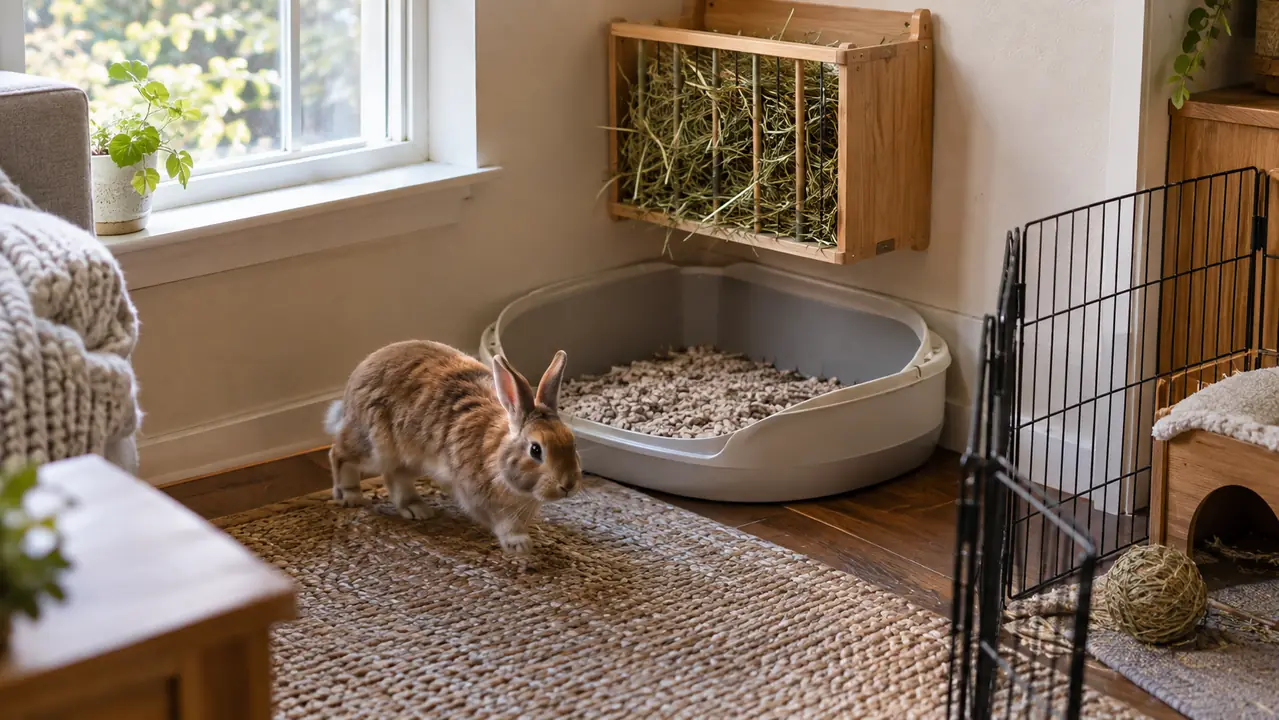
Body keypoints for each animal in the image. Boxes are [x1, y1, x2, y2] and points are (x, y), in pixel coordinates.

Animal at [324, 340, 583, 555]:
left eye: (572, 442)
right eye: (536, 450)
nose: (568, 485)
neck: (496, 453)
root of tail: (355, 379)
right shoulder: (479, 496)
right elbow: (502, 522)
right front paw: (519, 545)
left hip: (409, 457)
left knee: (395, 476)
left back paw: (416, 509)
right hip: (373, 446)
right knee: (338, 453)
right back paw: (350, 496)